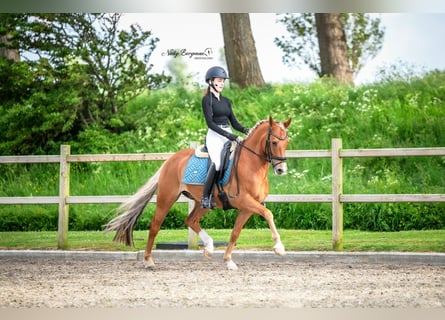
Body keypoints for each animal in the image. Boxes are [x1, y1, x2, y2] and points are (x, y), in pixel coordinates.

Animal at [104, 115, 292, 270]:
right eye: (274, 142)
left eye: (287, 142)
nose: (281, 170)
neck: (251, 164)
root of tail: (171, 159)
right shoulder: (244, 201)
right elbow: (268, 214)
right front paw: (279, 247)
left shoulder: (247, 208)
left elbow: (235, 233)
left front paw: (228, 261)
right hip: (167, 198)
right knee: (155, 225)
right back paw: (148, 261)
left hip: (203, 203)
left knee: (191, 220)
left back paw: (209, 247)